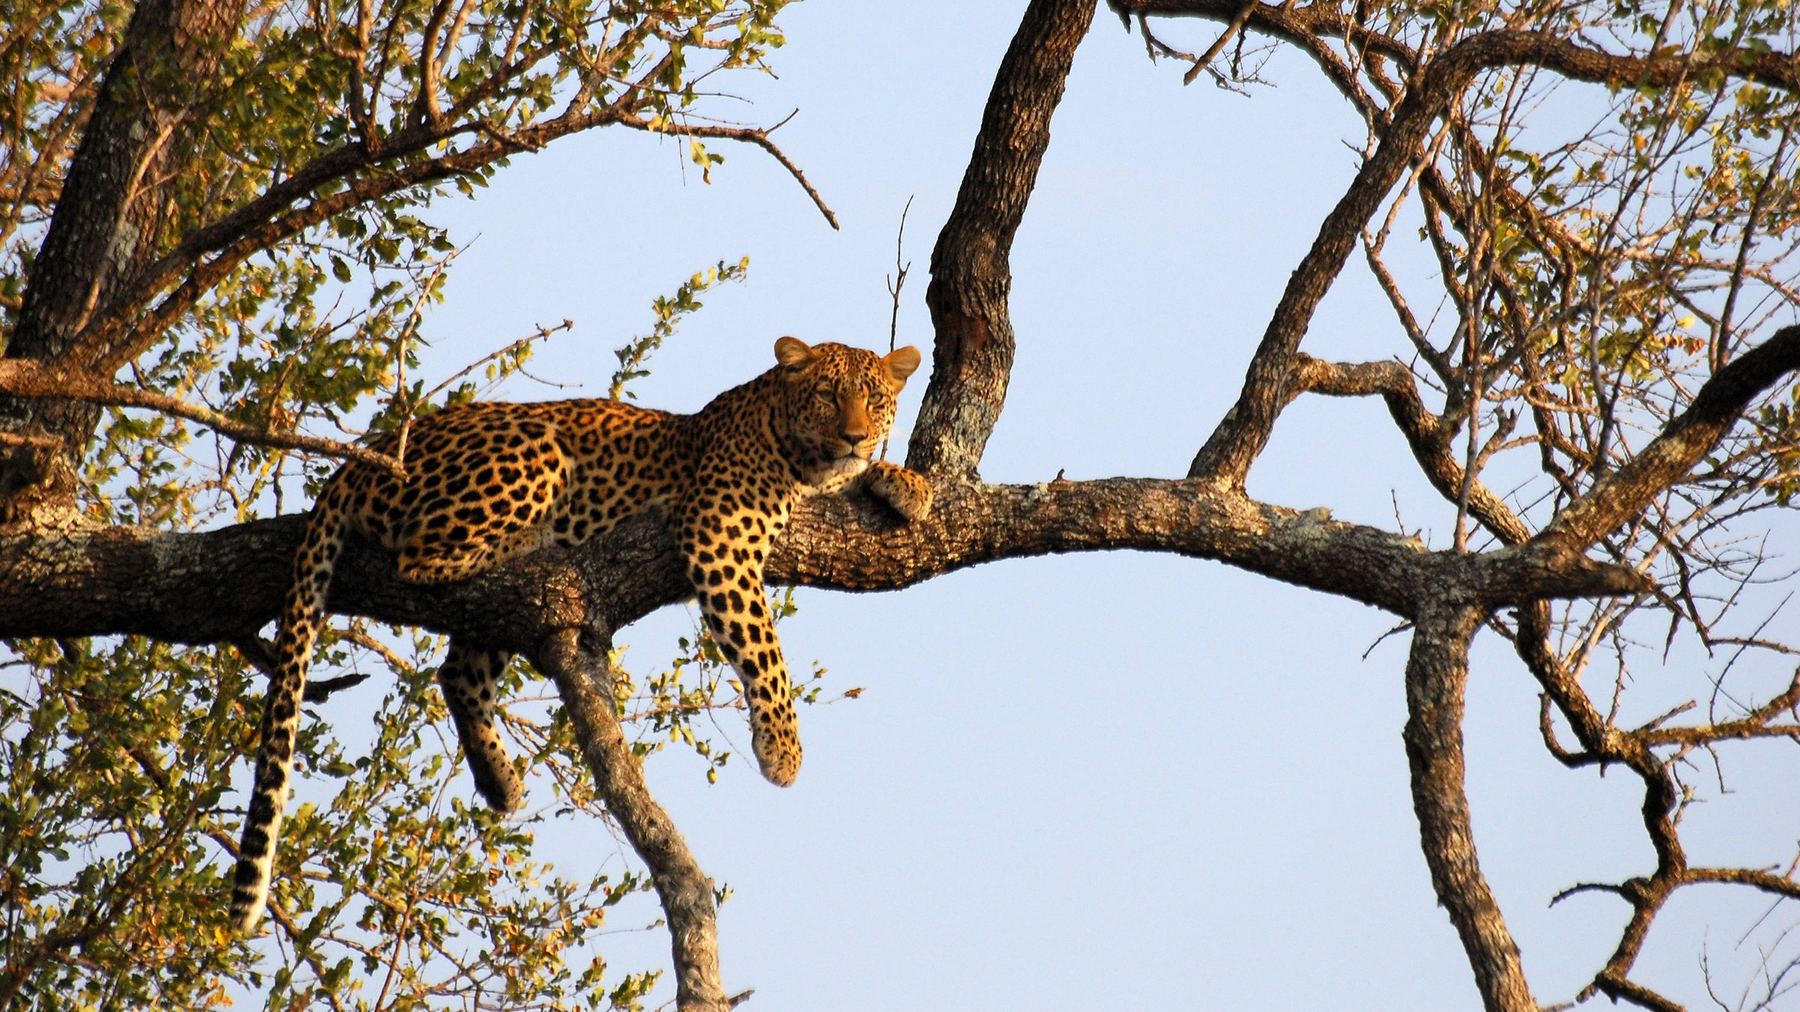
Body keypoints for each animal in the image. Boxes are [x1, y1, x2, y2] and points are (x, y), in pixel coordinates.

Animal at [228, 337, 933, 933]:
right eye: (827, 394)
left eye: (874, 399)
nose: (854, 437)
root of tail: (369, 454)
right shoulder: (720, 536)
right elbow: (766, 651)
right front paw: (783, 750)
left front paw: (908, 483)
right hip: (534, 449)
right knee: (420, 558)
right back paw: (533, 541)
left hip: (500, 611)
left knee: (459, 669)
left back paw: (499, 781)